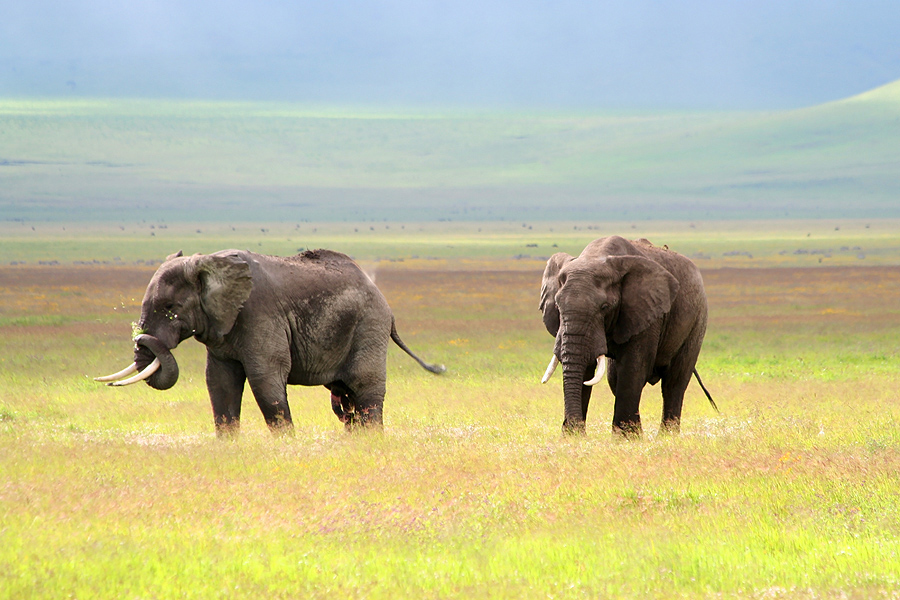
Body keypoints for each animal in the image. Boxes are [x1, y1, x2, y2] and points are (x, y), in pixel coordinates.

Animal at [96, 248, 444, 436]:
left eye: (171, 308)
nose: (141, 338)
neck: (212, 263)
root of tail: (386, 303)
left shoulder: (259, 313)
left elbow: (266, 378)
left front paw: (287, 447)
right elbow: (219, 382)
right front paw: (228, 447)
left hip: (369, 327)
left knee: (365, 389)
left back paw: (371, 442)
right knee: (345, 400)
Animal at [540, 236, 716, 436]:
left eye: (604, 307)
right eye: (557, 306)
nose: (576, 431)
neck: (596, 256)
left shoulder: (647, 312)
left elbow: (633, 367)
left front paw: (628, 438)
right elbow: (587, 367)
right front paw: (574, 437)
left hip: (697, 319)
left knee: (675, 381)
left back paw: (666, 436)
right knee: (614, 378)